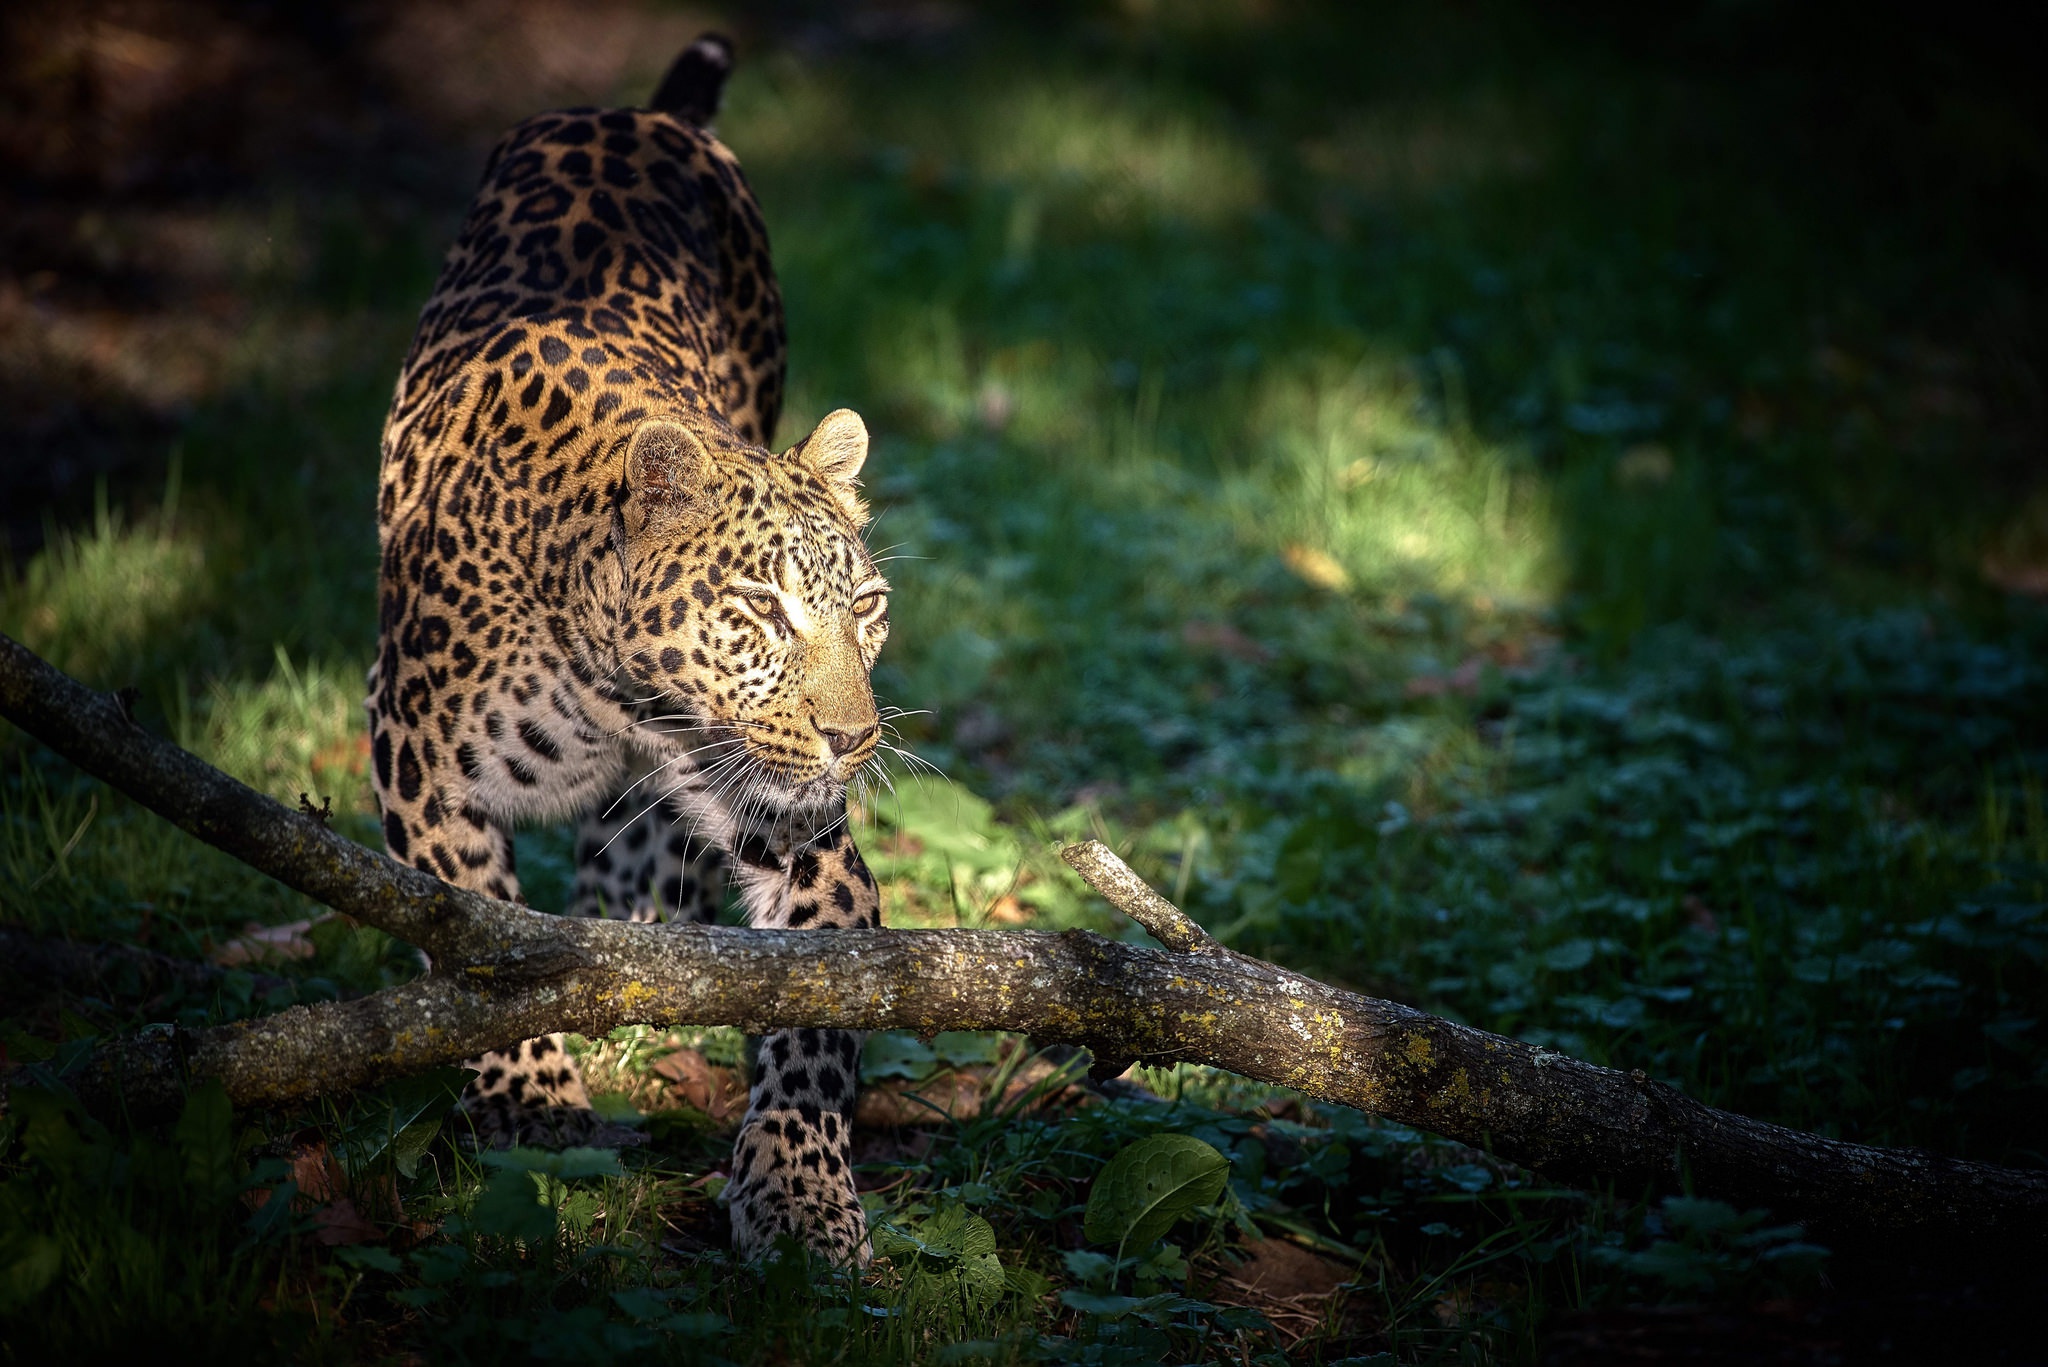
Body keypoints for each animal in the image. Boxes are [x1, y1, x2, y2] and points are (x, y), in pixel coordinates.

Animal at [366, 32, 888, 1270]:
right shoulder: (413, 753)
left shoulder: (793, 820)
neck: (621, 694)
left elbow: (816, 1019)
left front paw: (799, 1193)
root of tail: (645, 116)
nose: (853, 739)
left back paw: (635, 935)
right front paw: (532, 1110)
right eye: (762, 610)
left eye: (866, 608)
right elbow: (480, 947)